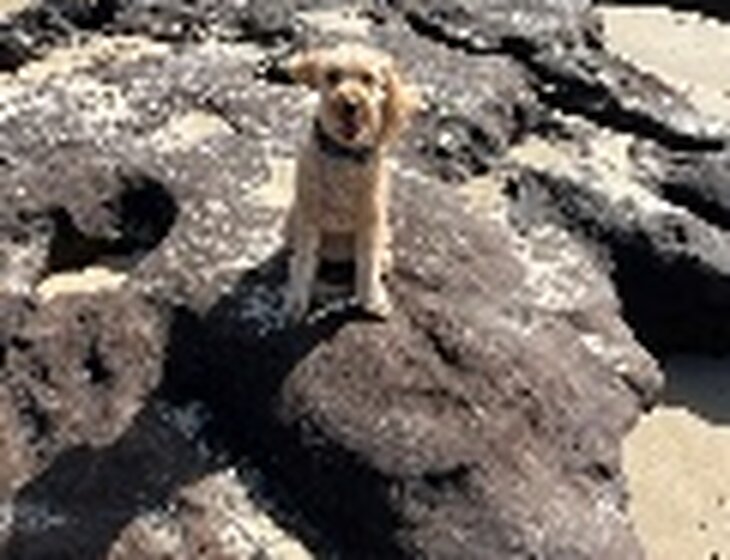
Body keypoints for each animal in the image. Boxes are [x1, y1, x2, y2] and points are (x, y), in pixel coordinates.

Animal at [284, 43, 419, 321]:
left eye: (368, 78)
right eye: (332, 76)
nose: (351, 104)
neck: (344, 154)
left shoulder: (371, 221)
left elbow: (367, 265)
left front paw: (372, 299)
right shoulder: (308, 216)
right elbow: (304, 263)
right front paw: (296, 302)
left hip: (385, 235)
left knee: (376, 260)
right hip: (291, 223)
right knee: (299, 259)